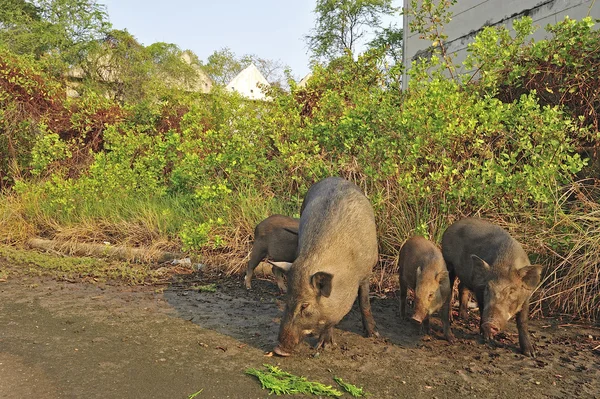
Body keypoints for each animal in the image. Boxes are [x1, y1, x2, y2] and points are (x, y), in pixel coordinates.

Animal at [270, 177, 378, 358]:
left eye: (305, 305)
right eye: (287, 299)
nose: (278, 350)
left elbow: (364, 303)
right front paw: (323, 346)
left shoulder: (366, 273)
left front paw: (373, 335)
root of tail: (334, 178)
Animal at [440, 217, 544, 358]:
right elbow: (482, 307)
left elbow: (522, 321)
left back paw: (464, 317)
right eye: (488, 289)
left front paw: (530, 353)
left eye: (512, 291)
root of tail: (451, 226)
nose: (490, 323)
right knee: (450, 290)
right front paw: (488, 338)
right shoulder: (479, 286)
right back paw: (452, 319)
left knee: (462, 286)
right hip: (448, 263)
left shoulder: (526, 296)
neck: (506, 264)